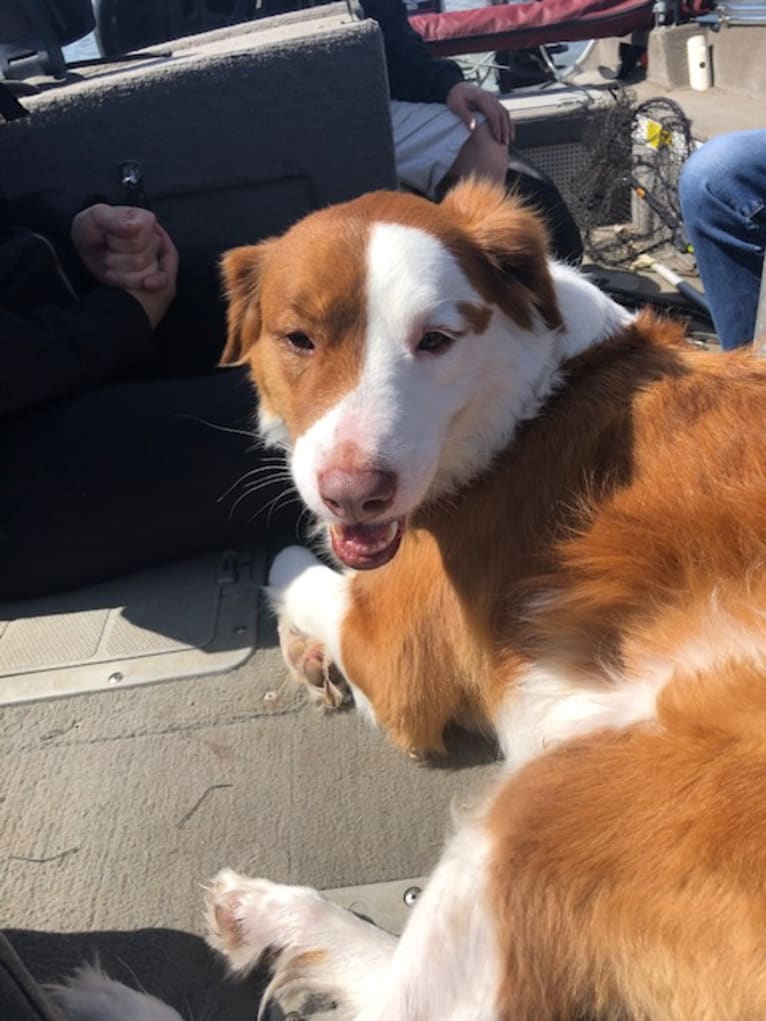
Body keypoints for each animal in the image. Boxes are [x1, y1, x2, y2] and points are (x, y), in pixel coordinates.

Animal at [199, 183, 766, 1021]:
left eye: (436, 340)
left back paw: (270, 912)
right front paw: (308, 654)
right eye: (299, 339)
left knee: (403, 999)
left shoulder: (391, 654)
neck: (530, 397)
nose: (353, 493)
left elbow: (298, 569)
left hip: (554, 799)